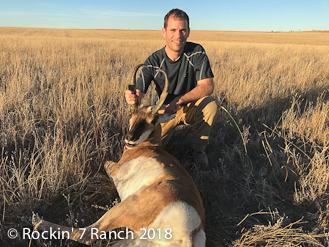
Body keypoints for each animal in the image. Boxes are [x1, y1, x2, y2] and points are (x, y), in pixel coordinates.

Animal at [31, 64, 205, 246]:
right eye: (131, 114)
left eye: (153, 120)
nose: (130, 138)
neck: (150, 147)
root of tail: (189, 233)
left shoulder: (115, 168)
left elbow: (105, 162)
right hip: (133, 239)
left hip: (121, 209)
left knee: (85, 235)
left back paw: (37, 219)